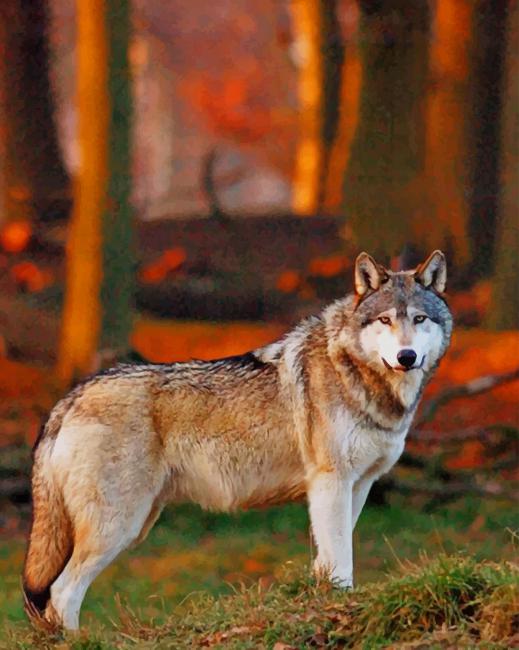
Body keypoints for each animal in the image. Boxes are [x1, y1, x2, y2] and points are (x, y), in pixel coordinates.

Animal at [23, 250, 452, 630]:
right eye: (385, 320)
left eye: (419, 319)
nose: (407, 356)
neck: (355, 372)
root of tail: (70, 397)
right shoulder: (330, 482)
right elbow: (341, 559)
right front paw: (339, 606)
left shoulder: (358, 485)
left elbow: (330, 556)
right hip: (117, 528)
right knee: (62, 593)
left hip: (135, 524)